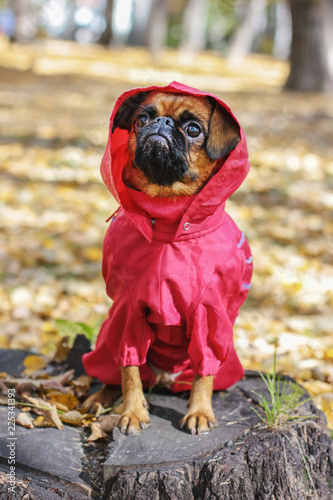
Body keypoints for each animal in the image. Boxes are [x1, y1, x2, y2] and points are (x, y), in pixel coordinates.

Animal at [83, 82, 252, 434]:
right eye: (142, 119)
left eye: (193, 130)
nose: (160, 125)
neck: (167, 216)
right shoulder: (126, 313)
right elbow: (129, 371)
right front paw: (133, 412)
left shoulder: (209, 318)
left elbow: (204, 370)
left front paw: (200, 411)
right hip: (106, 336)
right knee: (111, 370)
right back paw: (100, 397)